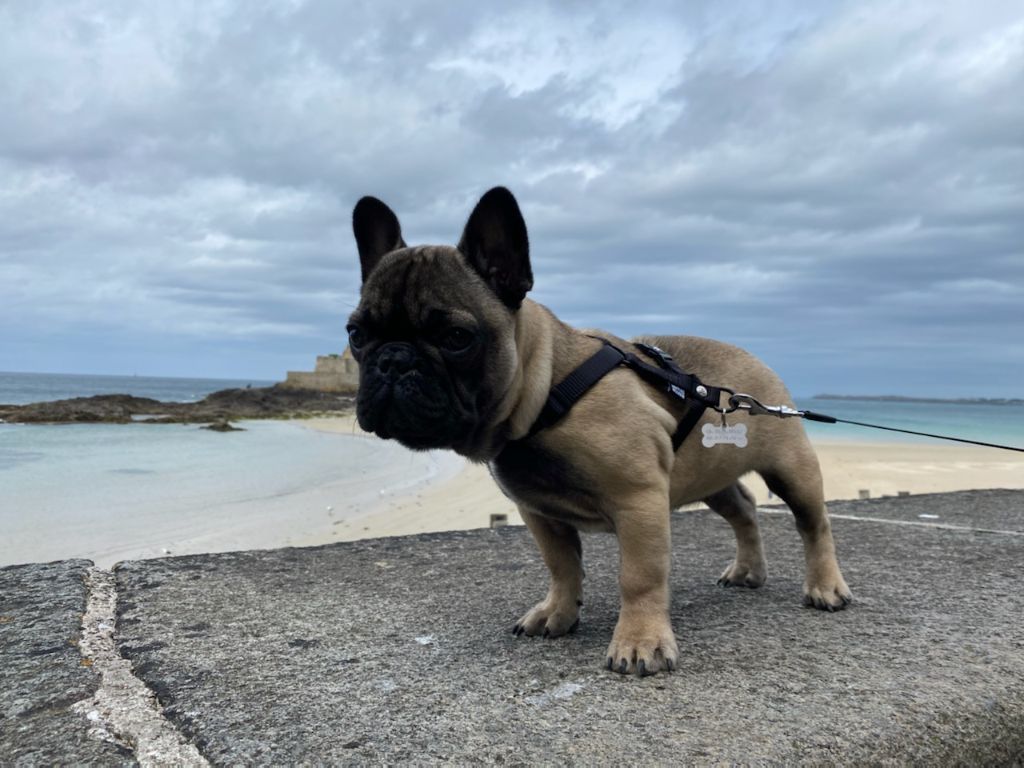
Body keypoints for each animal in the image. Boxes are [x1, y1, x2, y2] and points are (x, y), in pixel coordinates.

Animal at [346, 187, 852, 676]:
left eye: (456, 337)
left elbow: (640, 577)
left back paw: (826, 587)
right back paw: (748, 571)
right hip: (709, 474)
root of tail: (752, 364)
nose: (393, 360)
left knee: (814, 524)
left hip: (791, 468)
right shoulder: (538, 511)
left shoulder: (638, 499)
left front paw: (640, 642)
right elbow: (562, 566)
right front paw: (557, 613)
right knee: (743, 509)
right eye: (355, 335)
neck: (545, 391)